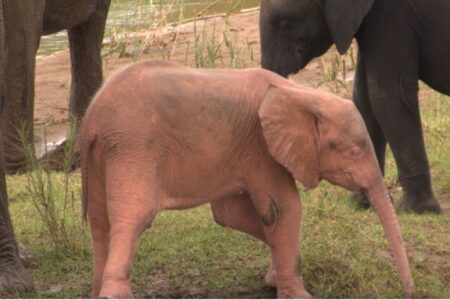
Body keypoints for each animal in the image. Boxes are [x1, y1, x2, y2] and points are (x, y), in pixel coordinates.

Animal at [258, 0, 448, 213]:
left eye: (285, 24)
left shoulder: (392, 15)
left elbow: (388, 95)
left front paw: (416, 210)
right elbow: (363, 97)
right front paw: (362, 203)